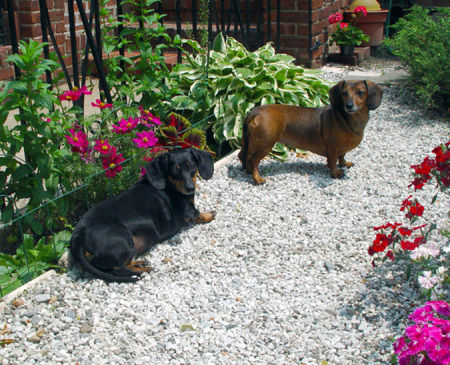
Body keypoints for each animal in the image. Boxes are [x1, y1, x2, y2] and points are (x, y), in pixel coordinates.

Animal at [69, 148, 215, 282]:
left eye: (192, 166)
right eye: (175, 170)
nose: (190, 188)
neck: (170, 185)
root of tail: (78, 236)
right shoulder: (189, 212)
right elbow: (199, 214)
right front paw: (210, 215)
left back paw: (139, 263)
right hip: (124, 243)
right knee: (118, 269)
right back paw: (143, 270)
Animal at [239, 79, 384, 182]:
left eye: (360, 92)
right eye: (344, 93)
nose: (349, 106)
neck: (347, 120)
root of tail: (255, 111)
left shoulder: (342, 148)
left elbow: (342, 155)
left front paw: (344, 163)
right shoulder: (333, 146)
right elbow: (333, 160)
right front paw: (336, 172)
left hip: (251, 142)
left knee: (243, 156)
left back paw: (248, 171)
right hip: (265, 144)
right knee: (253, 159)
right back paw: (257, 178)